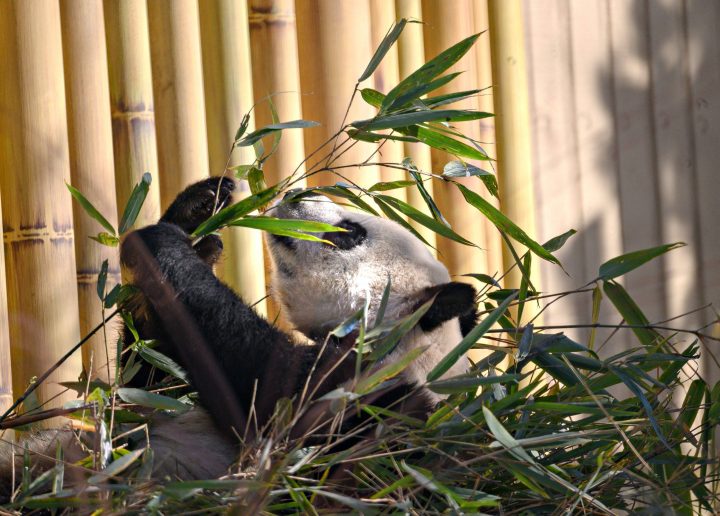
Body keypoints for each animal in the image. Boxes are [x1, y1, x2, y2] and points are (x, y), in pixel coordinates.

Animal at [1, 177, 479, 484]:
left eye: (348, 231)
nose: (295, 193)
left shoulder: (362, 403)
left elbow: (256, 389)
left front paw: (161, 242)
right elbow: (151, 384)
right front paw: (198, 212)